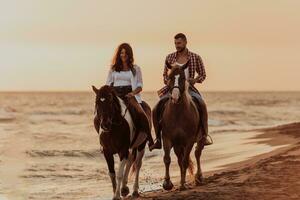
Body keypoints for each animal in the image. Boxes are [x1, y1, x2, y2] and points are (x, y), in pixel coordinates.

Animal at [156, 60, 205, 191]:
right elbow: (167, 159)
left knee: (197, 153)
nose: (175, 97)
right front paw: (167, 183)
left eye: (183, 78)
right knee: (179, 159)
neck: (178, 114)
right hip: (178, 145)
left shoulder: (189, 140)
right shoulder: (167, 138)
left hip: (199, 139)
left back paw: (199, 177)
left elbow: (185, 161)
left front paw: (182, 185)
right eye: (169, 77)